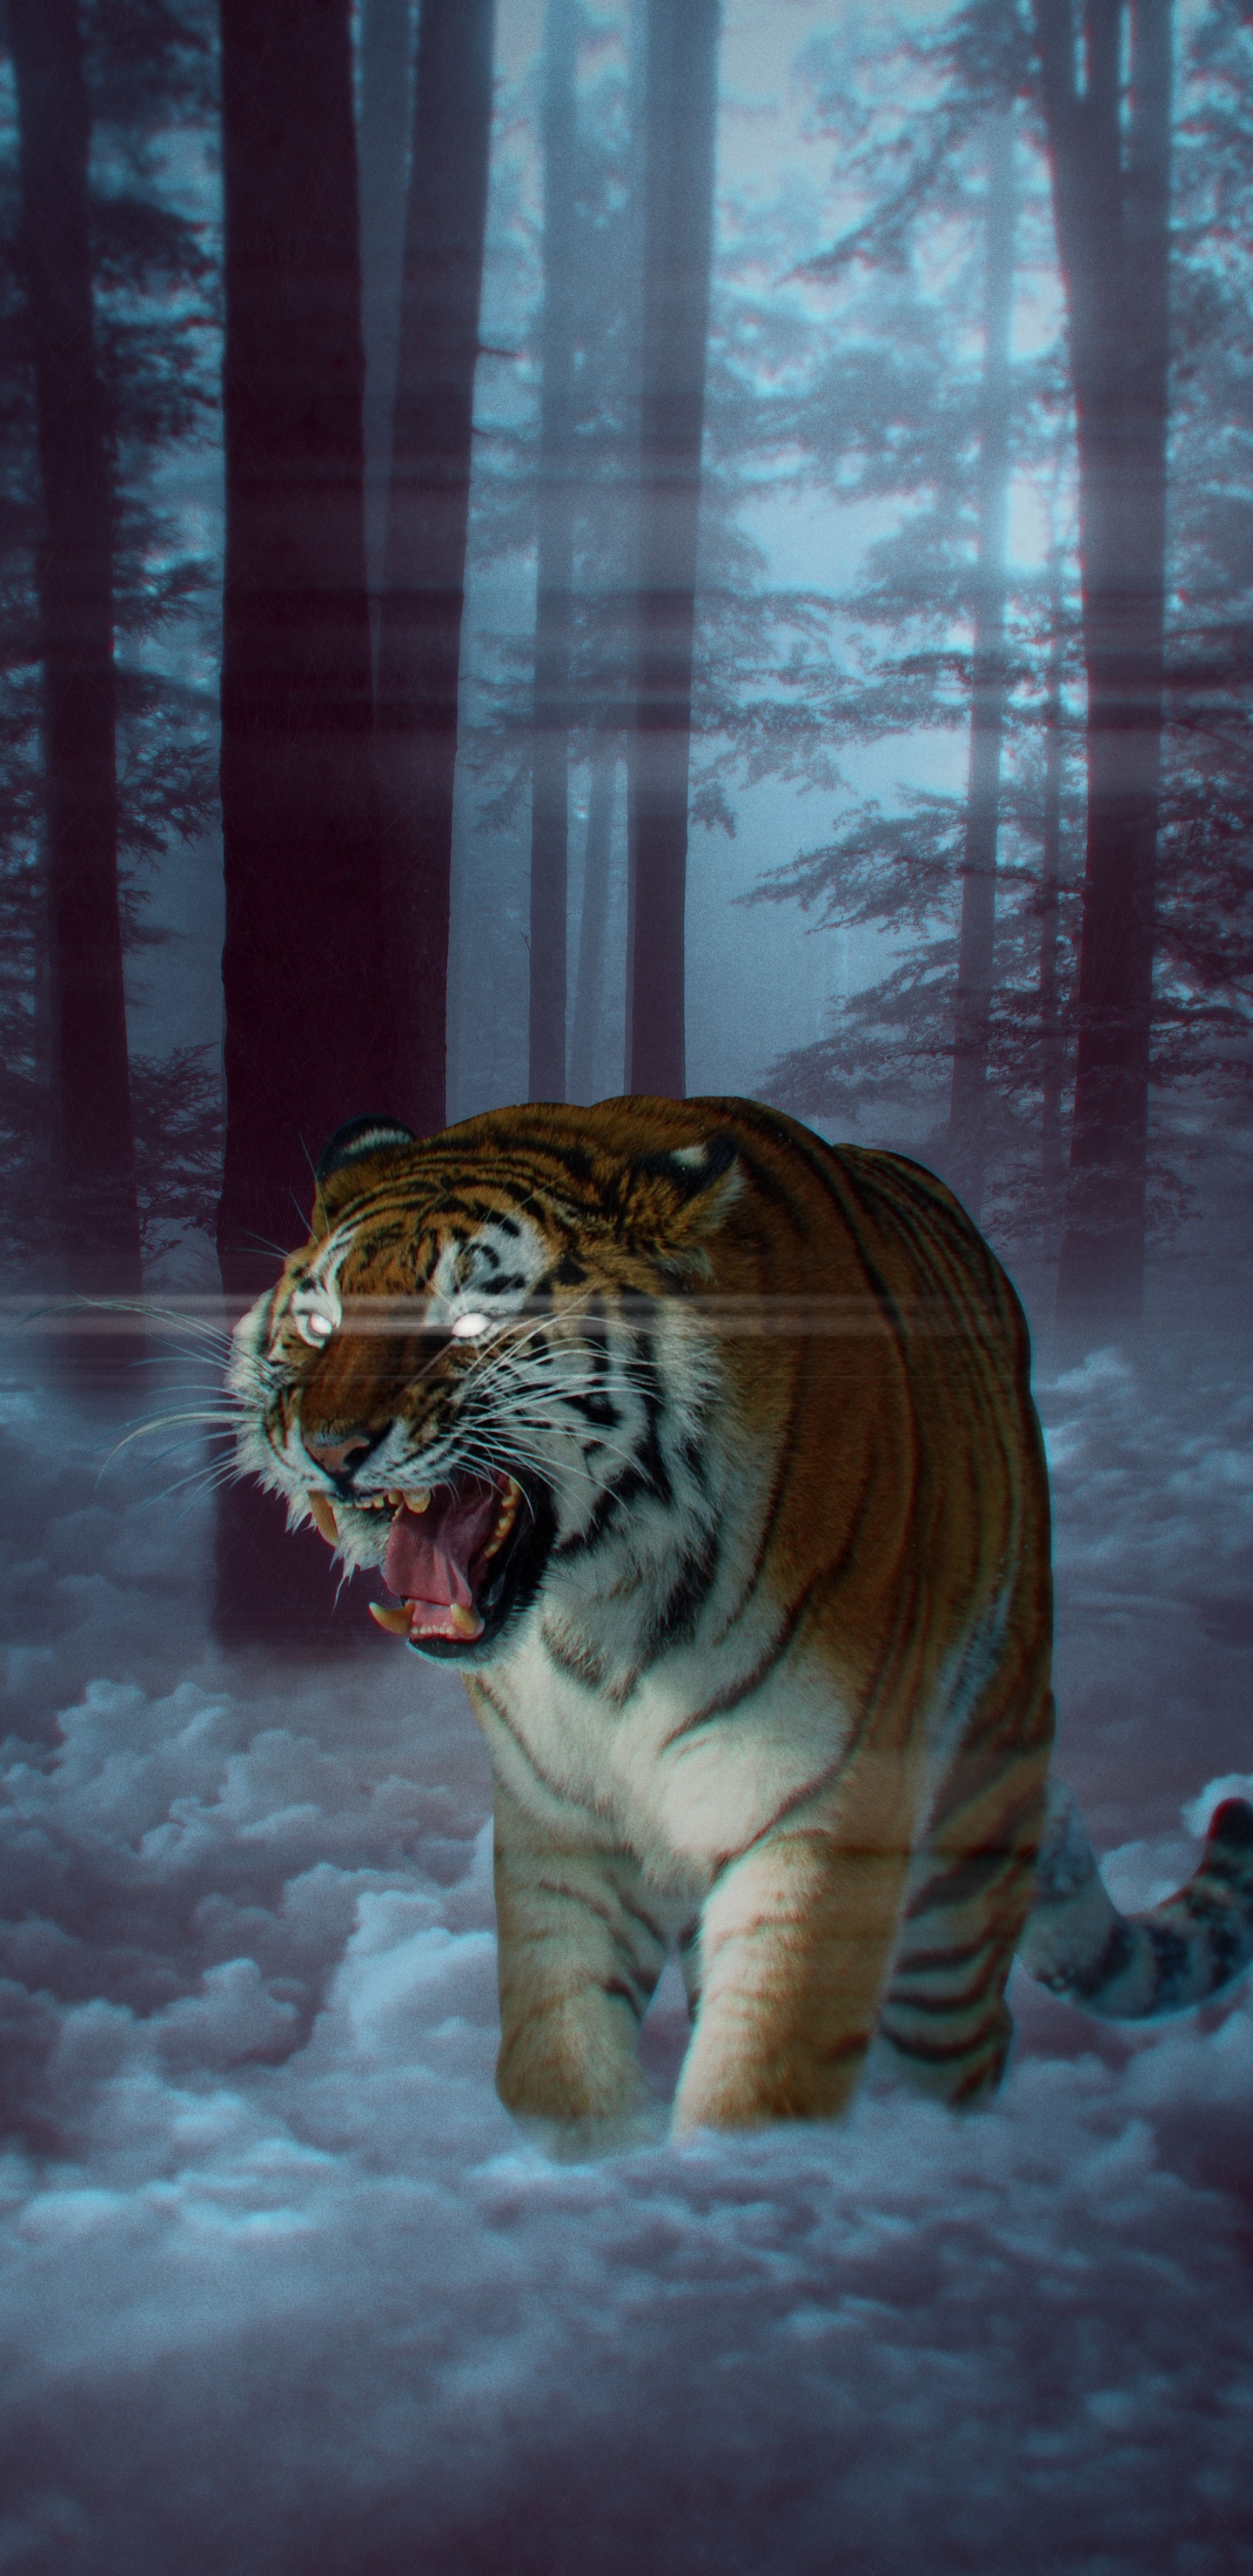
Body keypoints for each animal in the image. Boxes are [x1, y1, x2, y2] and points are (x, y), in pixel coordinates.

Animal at [228, 1094, 1253, 2143]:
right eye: (318, 1322)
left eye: (471, 1321)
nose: (330, 1447)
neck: (600, 1611)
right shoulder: (560, 1816)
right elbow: (557, 2054)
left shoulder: (825, 1804)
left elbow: (767, 2073)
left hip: (966, 1850)